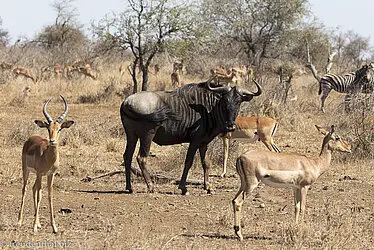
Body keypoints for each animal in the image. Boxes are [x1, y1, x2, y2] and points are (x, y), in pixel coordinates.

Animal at [18, 95, 74, 232]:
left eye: (59, 129)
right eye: (48, 128)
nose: (52, 141)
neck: (47, 157)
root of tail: (30, 139)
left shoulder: (50, 174)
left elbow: (49, 196)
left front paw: (54, 227)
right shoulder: (39, 173)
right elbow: (39, 196)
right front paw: (34, 227)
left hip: (38, 175)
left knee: (34, 189)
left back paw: (38, 223)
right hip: (26, 170)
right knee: (25, 189)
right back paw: (20, 221)